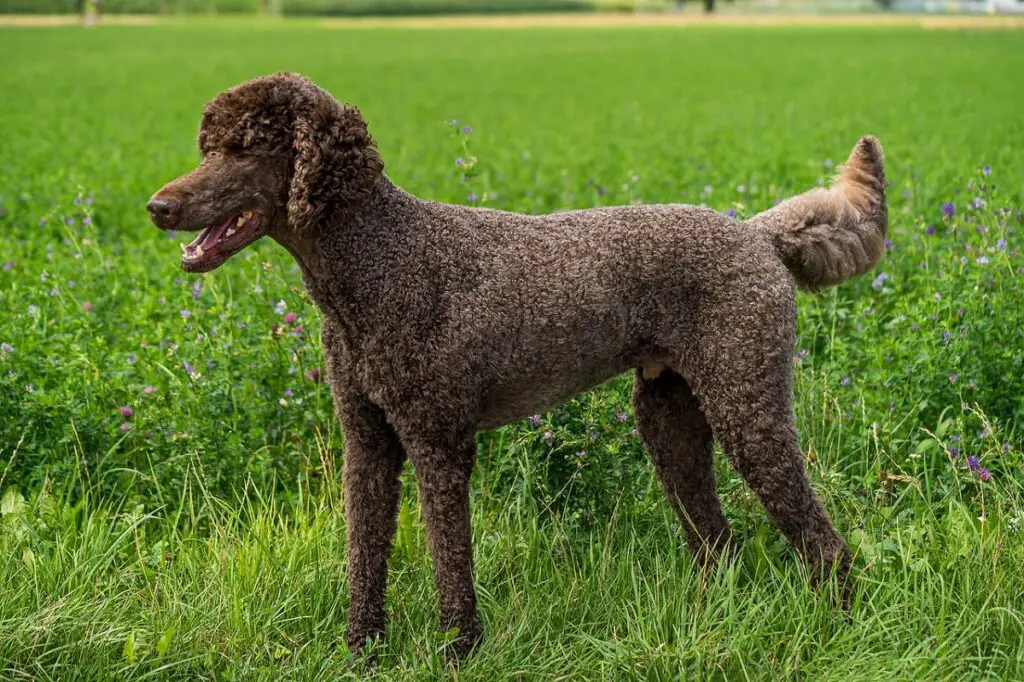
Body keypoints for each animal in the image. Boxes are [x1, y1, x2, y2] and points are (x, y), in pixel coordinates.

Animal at [146, 71, 888, 655]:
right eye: (209, 146)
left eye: (247, 148)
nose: (157, 206)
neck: (379, 259)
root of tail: (759, 234)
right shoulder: (367, 440)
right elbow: (365, 550)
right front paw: (362, 650)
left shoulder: (439, 439)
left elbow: (449, 556)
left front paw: (458, 649)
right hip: (669, 415)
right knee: (717, 539)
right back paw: (714, 621)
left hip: (746, 401)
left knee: (822, 542)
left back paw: (839, 626)